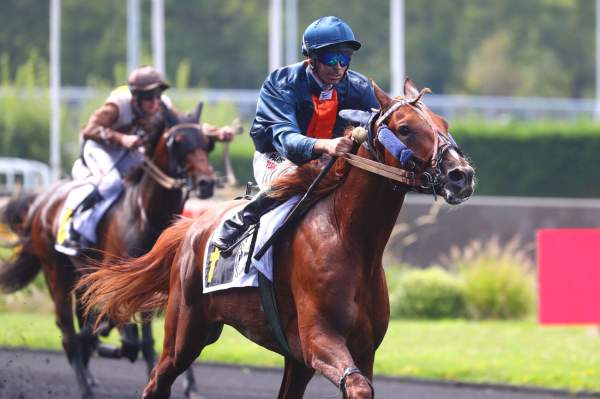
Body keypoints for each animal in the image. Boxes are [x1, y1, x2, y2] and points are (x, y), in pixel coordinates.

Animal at [0, 120, 216, 398]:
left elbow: (145, 341)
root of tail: (42, 201)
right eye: (177, 143)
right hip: (56, 272)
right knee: (68, 331)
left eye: (206, 144)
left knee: (81, 322)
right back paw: (85, 384)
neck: (144, 212)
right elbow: (126, 333)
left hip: (80, 277)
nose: (205, 183)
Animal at [79, 79, 476, 398]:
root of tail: (189, 228)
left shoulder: (360, 350)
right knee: (156, 381)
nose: (461, 175)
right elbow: (357, 386)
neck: (348, 238)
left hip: (285, 359)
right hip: (186, 333)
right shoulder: (320, 341)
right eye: (405, 128)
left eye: (443, 124)